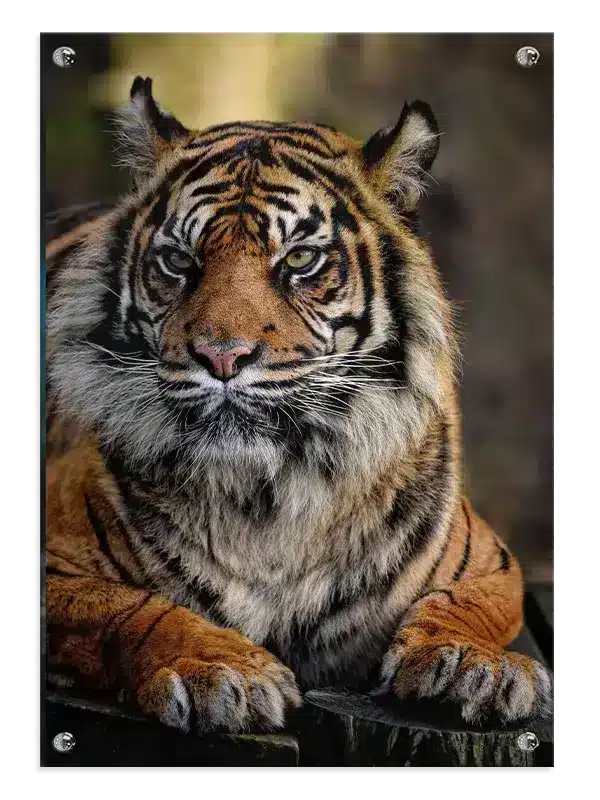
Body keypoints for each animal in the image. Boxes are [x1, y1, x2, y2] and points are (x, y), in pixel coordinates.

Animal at [45, 76, 552, 735]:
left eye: (299, 259)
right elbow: (131, 606)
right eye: (180, 261)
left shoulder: (489, 561)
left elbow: (466, 604)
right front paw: (221, 670)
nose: (222, 355)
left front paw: (474, 665)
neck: (268, 500)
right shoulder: (57, 562)